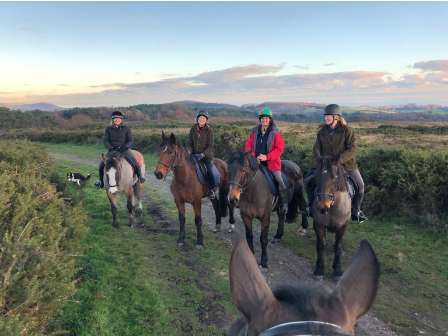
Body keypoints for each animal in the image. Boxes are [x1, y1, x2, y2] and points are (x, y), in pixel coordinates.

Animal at [310, 150, 352, 280]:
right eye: (316, 177)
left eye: (333, 178)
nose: (322, 208)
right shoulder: (318, 224)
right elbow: (321, 245)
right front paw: (319, 269)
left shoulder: (343, 226)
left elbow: (337, 246)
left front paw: (337, 270)